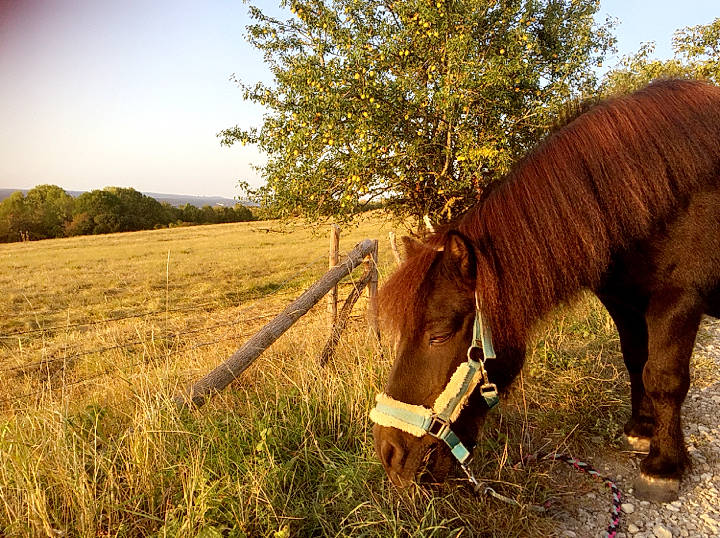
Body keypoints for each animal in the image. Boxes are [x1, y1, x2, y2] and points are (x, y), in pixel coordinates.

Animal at [370, 79, 720, 503]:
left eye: (438, 334)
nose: (389, 453)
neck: (654, 192)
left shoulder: (678, 300)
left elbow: (664, 378)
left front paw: (663, 465)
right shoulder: (624, 302)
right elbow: (637, 361)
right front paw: (640, 430)